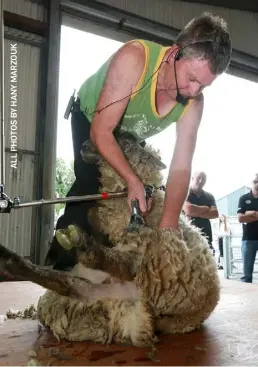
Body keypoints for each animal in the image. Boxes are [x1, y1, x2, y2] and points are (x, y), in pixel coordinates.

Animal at [0, 131, 220, 350]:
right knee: (67, 282)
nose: (84, 145)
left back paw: (79, 245)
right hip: (103, 290)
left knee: (108, 269)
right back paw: (11, 261)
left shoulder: (149, 249)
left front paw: (82, 241)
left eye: (125, 143)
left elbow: (126, 261)